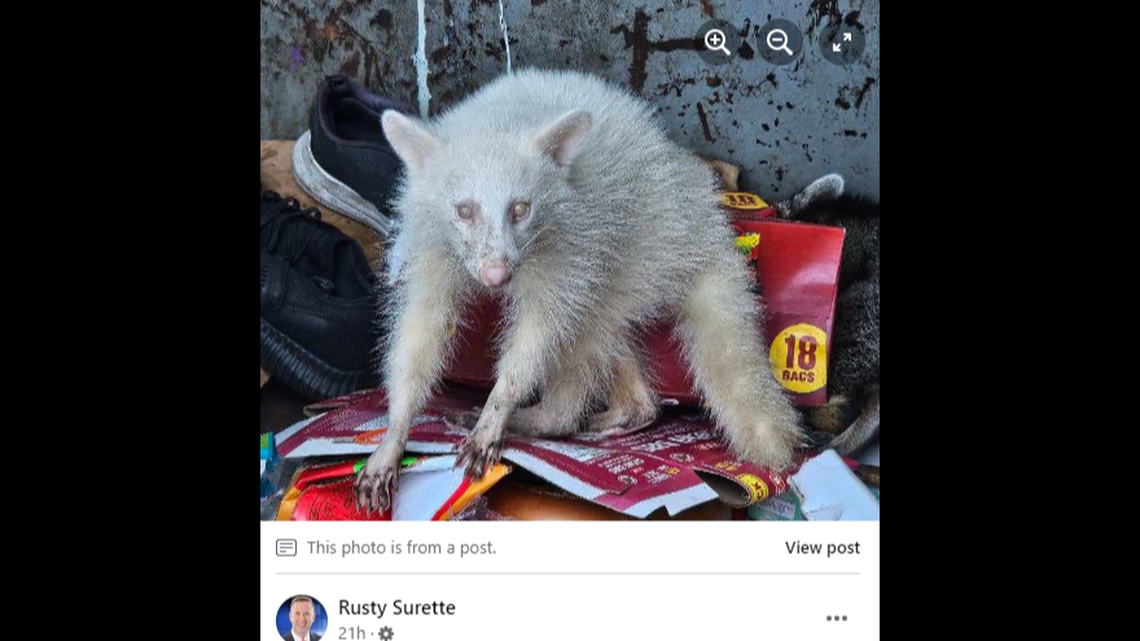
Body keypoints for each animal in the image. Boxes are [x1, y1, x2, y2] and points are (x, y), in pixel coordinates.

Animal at [355, 69, 804, 512]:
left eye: (521, 209)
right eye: (464, 210)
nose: (496, 275)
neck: (500, 116)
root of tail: (706, 225)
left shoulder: (569, 238)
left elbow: (539, 331)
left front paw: (499, 404)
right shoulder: (432, 238)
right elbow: (422, 327)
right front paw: (396, 427)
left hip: (638, 246)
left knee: (585, 328)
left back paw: (553, 415)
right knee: (606, 336)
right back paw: (635, 406)